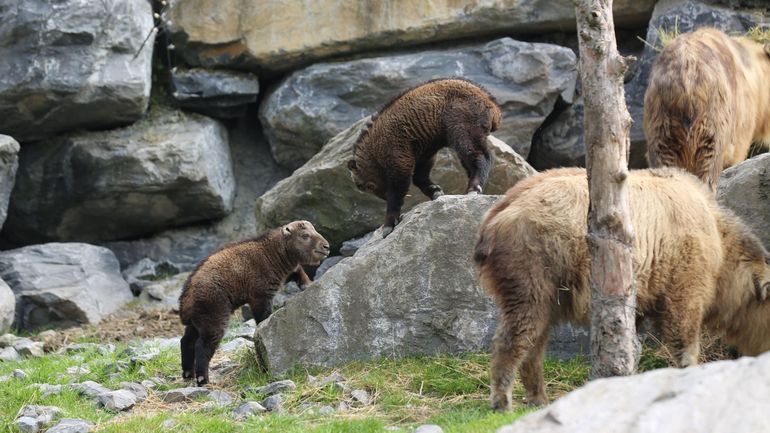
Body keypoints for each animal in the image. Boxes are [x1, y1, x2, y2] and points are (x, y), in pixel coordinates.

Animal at [178, 219, 328, 384]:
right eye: (305, 235)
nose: (326, 246)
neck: (272, 252)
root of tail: (185, 299)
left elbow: (298, 269)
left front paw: (306, 284)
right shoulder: (260, 296)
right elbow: (263, 317)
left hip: (197, 322)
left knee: (186, 341)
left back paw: (188, 374)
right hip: (213, 318)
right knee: (202, 346)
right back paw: (202, 378)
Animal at [344, 77, 500, 236]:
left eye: (365, 185)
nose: (383, 197)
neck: (375, 150)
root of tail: (492, 105)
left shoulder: (399, 158)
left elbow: (397, 191)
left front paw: (388, 224)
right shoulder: (424, 153)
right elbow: (419, 177)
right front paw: (436, 192)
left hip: (463, 131)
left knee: (481, 157)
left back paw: (474, 188)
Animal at [474, 167, 768, 410]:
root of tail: (495, 213)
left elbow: (629, 336)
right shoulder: (683, 273)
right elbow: (682, 329)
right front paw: (688, 372)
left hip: (551, 282)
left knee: (537, 335)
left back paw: (538, 398)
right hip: (533, 259)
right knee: (520, 329)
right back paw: (503, 400)